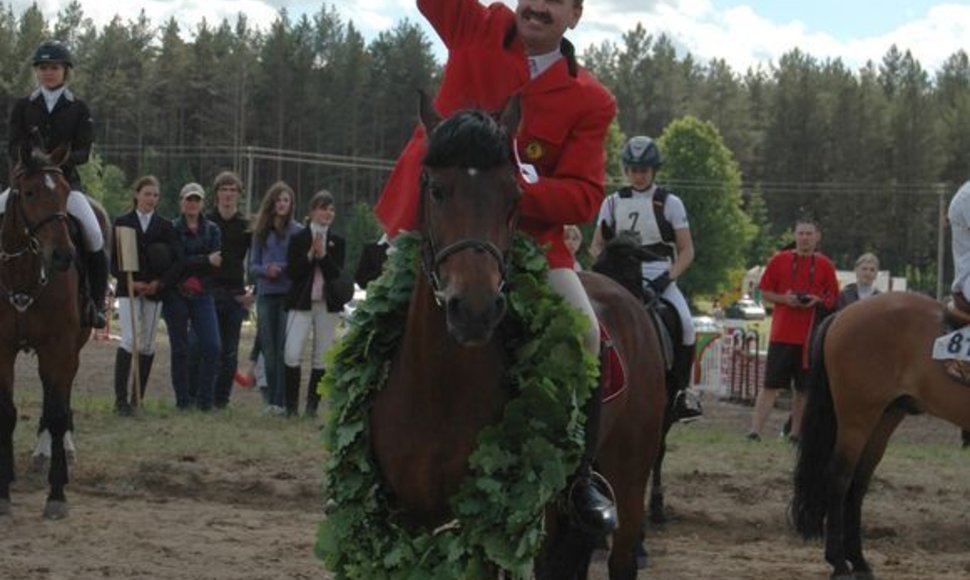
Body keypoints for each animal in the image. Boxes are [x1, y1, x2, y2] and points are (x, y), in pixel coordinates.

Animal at [0, 143, 105, 520]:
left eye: (61, 191)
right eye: (29, 192)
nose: (62, 255)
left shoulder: (59, 347)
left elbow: (58, 414)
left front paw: (56, 493)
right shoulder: (2, 349)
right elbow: (8, 412)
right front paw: (4, 491)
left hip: (71, 349)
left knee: (59, 398)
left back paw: (57, 453)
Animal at [366, 93, 668, 576]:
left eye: (513, 196)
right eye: (436, 189)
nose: (474, 309)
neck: (440, 387)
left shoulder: (502, 529)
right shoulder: (408, 522)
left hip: (629, 472)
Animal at [792, 294, 968, 580]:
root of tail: (842, 314)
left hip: (885, 418)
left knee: (859, 483)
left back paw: (859, 561)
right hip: (857, 418)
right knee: (839, 478)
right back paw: (839, 563)